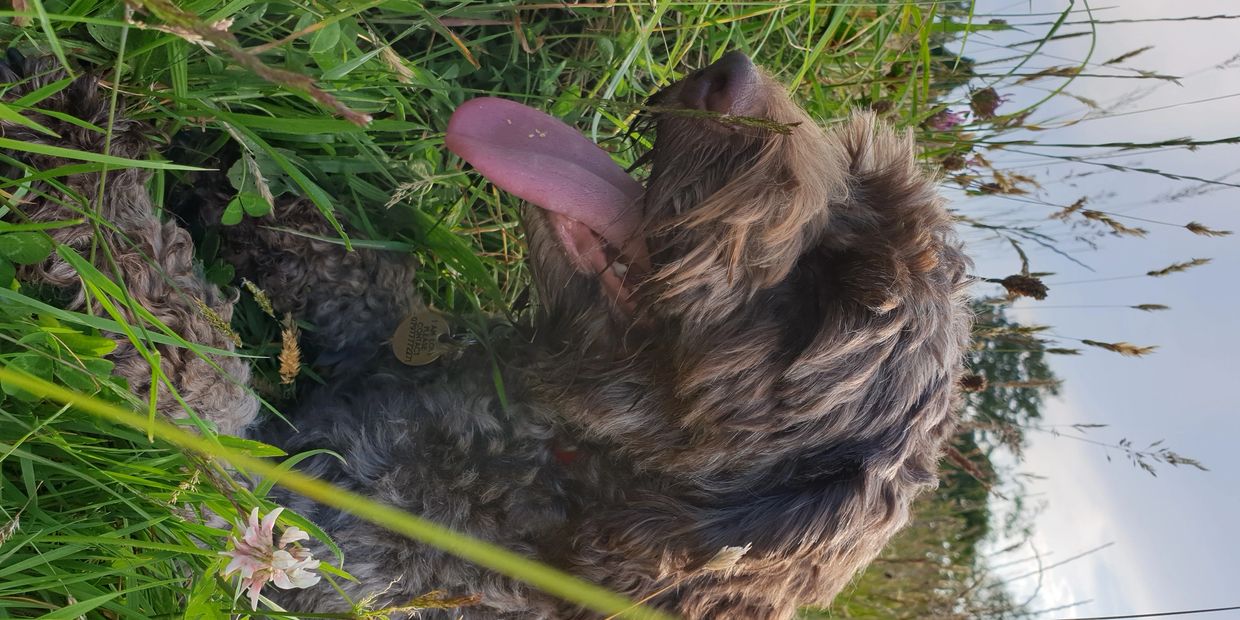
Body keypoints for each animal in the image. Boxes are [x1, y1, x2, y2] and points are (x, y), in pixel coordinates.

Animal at [4, 50, 972, 617]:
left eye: (834, 294)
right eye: (859, 165)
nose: (732, 74)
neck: (539, 435)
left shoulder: (295, 541)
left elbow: (196, 373)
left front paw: (78, 172)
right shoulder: (387, 337)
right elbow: (348, 263)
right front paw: (241, 171)